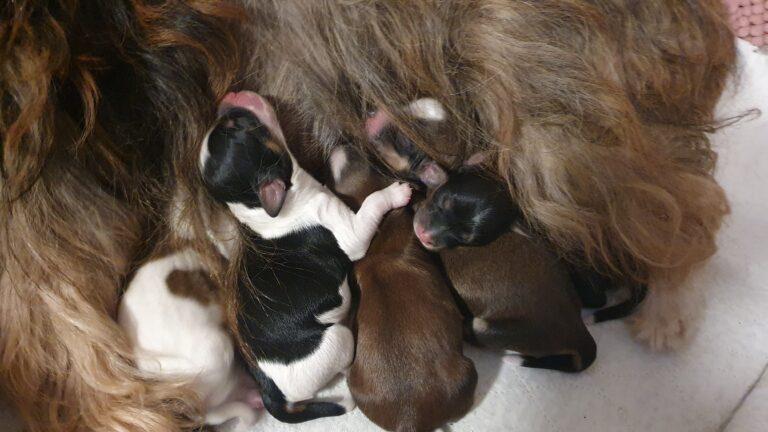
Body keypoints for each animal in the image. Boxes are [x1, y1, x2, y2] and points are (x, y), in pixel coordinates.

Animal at [200, 89, 414, 424]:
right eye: (243, 125)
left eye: (231, 124)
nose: (231, 94)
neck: (257, 208)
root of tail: (270, 391)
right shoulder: (349, 232)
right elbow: (372, 203)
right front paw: (396, 192)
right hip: (337, 340)